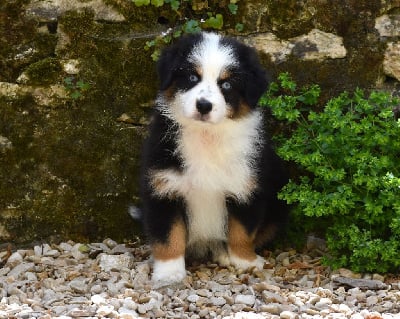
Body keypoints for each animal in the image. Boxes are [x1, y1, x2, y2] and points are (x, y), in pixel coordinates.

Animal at [139, 31, 290, 288]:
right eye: (192, 76)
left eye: (227, 84)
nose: (204, 105)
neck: (206, 136)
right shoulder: (165, 188)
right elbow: (169, 236)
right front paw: (169, 273)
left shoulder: (245, 187)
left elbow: (241, 231)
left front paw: (246, 261)